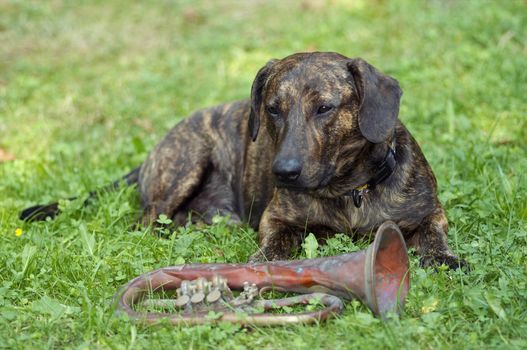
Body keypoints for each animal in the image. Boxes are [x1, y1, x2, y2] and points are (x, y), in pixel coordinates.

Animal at [19, 51, 466, 268]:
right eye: (272, 109)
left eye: (324, 108)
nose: (283, 172)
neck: (349, 191)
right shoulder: (277, 219)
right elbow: (276, 241)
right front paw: (263, 262)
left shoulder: (430, 212)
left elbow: (432, 234)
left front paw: (443, 258)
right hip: (185, 163)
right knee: (144, 223)